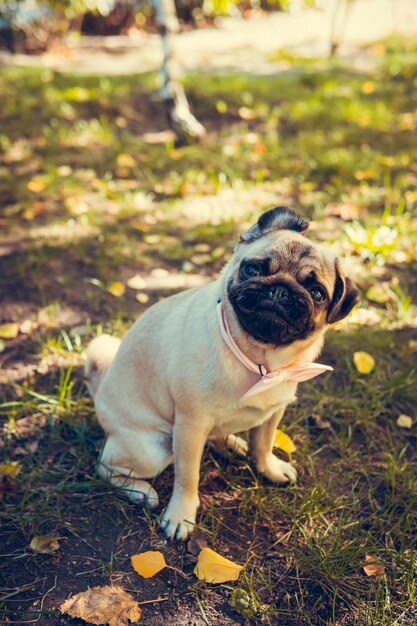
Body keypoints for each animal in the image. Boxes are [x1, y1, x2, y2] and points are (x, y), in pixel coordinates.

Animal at [84, 205, 358, 536]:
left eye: (317, 293)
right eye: (252, 269)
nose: (280, 290)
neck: (260, 360)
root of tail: (101, 388)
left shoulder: (274, 412)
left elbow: (263, 444)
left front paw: (269, 469)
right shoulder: (190, 426)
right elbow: (188, 476)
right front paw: (181, 516)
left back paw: (231, 443)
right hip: (150, 450)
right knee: (105, 466)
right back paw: (141, 492)